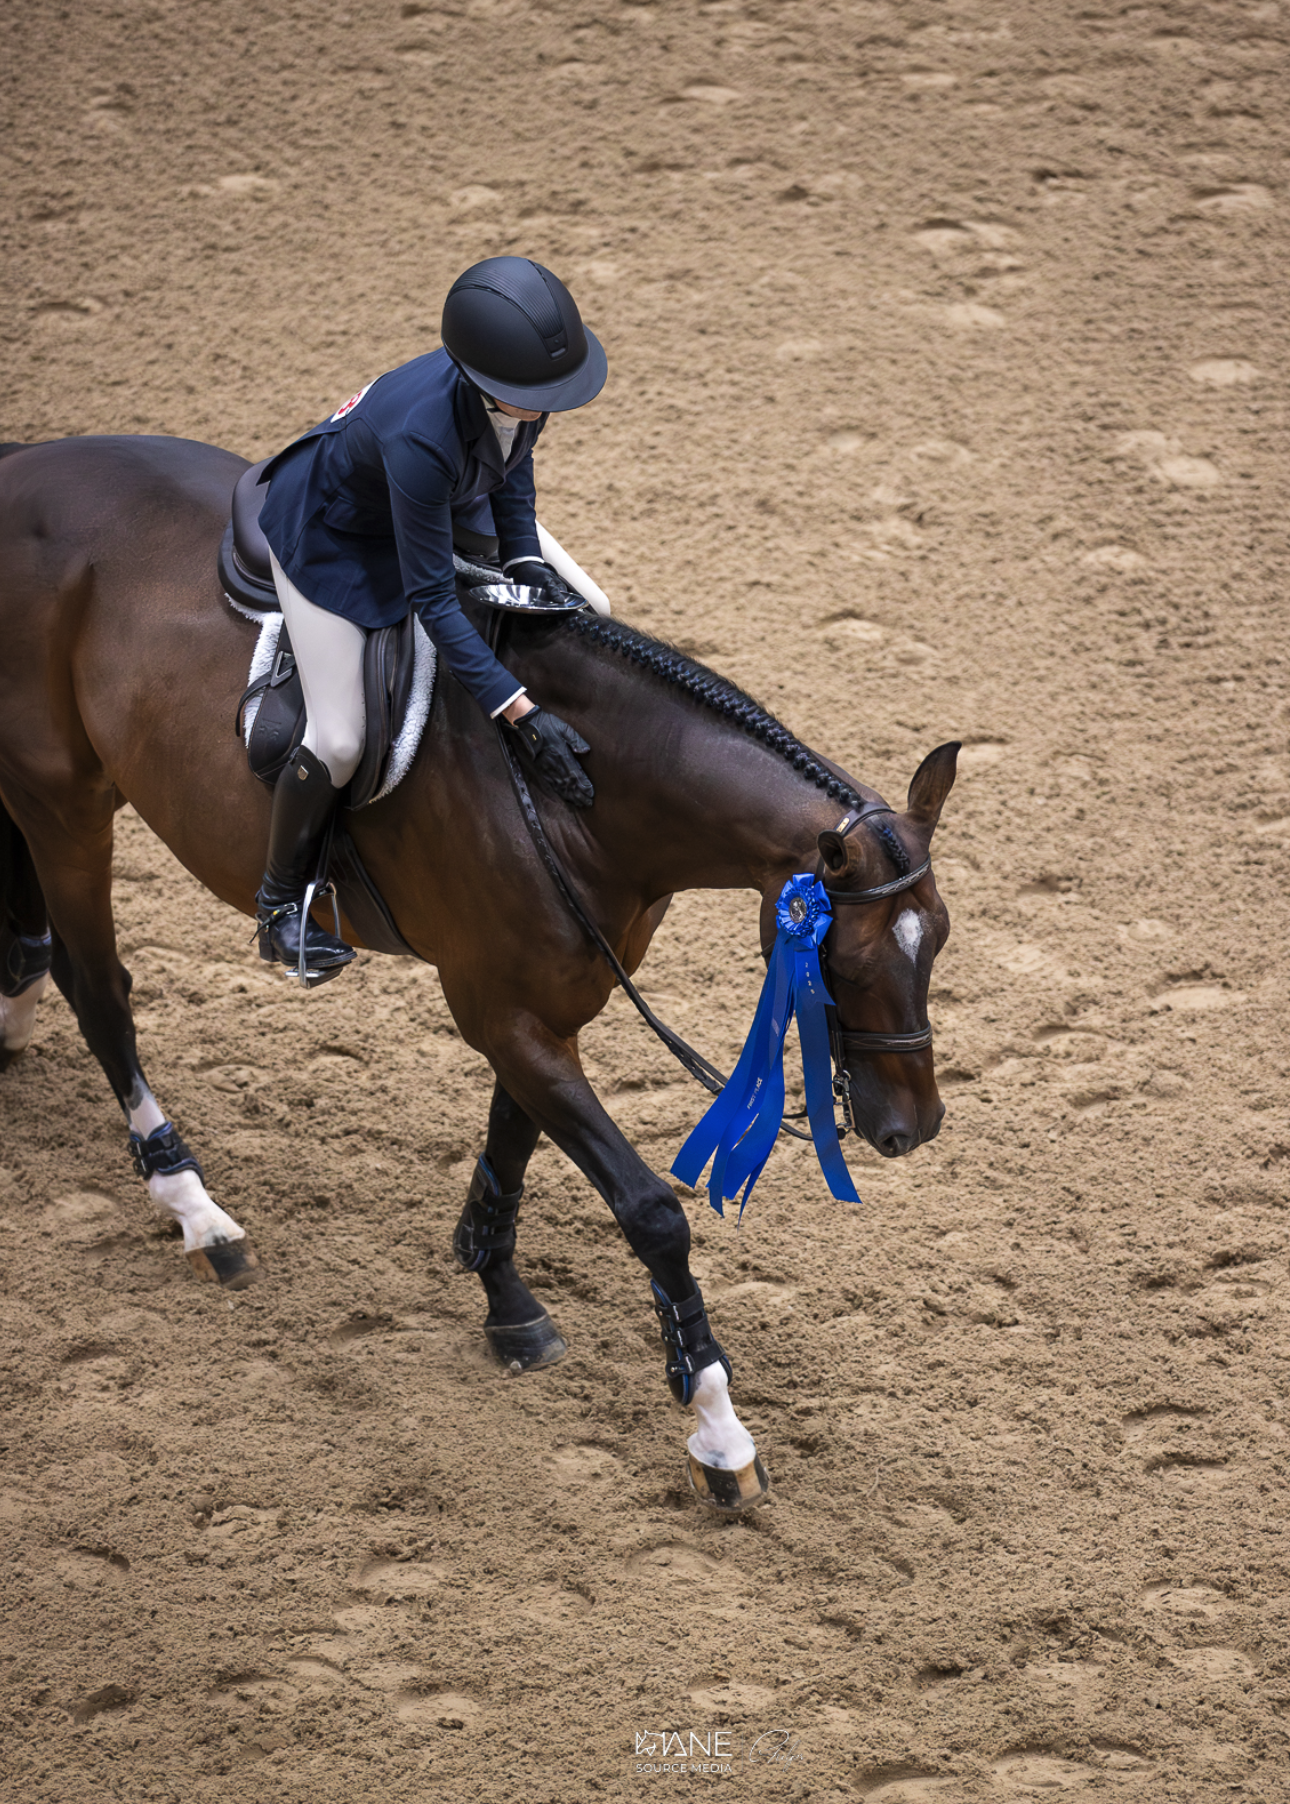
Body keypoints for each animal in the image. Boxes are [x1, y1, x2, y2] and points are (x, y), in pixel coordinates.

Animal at [0, 433, 959, 1510]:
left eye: (941, 939)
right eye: (845, 957)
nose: (913, 1127)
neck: (578, 799)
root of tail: (24, 466)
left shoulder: (547, 1005)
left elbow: (513, 1148)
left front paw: (503, 1299)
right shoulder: (501, 1011)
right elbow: (648, 1209)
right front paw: (717, 1430)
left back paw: (14, 1018)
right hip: (65, 797)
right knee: (99, 988)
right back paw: (194, 1206)